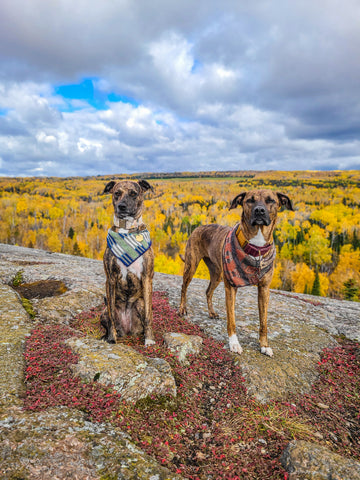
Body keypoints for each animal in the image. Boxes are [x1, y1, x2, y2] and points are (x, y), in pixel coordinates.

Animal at [100, 179, 155, 344]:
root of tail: (128, 330)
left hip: (140, 303)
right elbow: (111, 316)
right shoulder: (110, 279)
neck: (127, 230)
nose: (121, 206)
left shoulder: (146, 277)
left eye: (133, 193)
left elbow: (149, 316)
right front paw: (111, 339)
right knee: (109, 318)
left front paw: (149, 340)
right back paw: (107, 336)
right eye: (117, 193)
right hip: (103, 312)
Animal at [179, 190, 294, 356]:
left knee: (208, 292)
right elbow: (232, 320)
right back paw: (182, 308)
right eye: (250, 200)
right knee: (184, 287)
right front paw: (234, 344)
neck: (256, 247)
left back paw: (211, 312)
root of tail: (198, 227)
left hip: (217, 274)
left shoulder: (264, 289)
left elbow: (264, 322)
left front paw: (264, 345)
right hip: (191, 265)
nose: (259, 211)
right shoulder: (231, 287)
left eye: (270, 200)